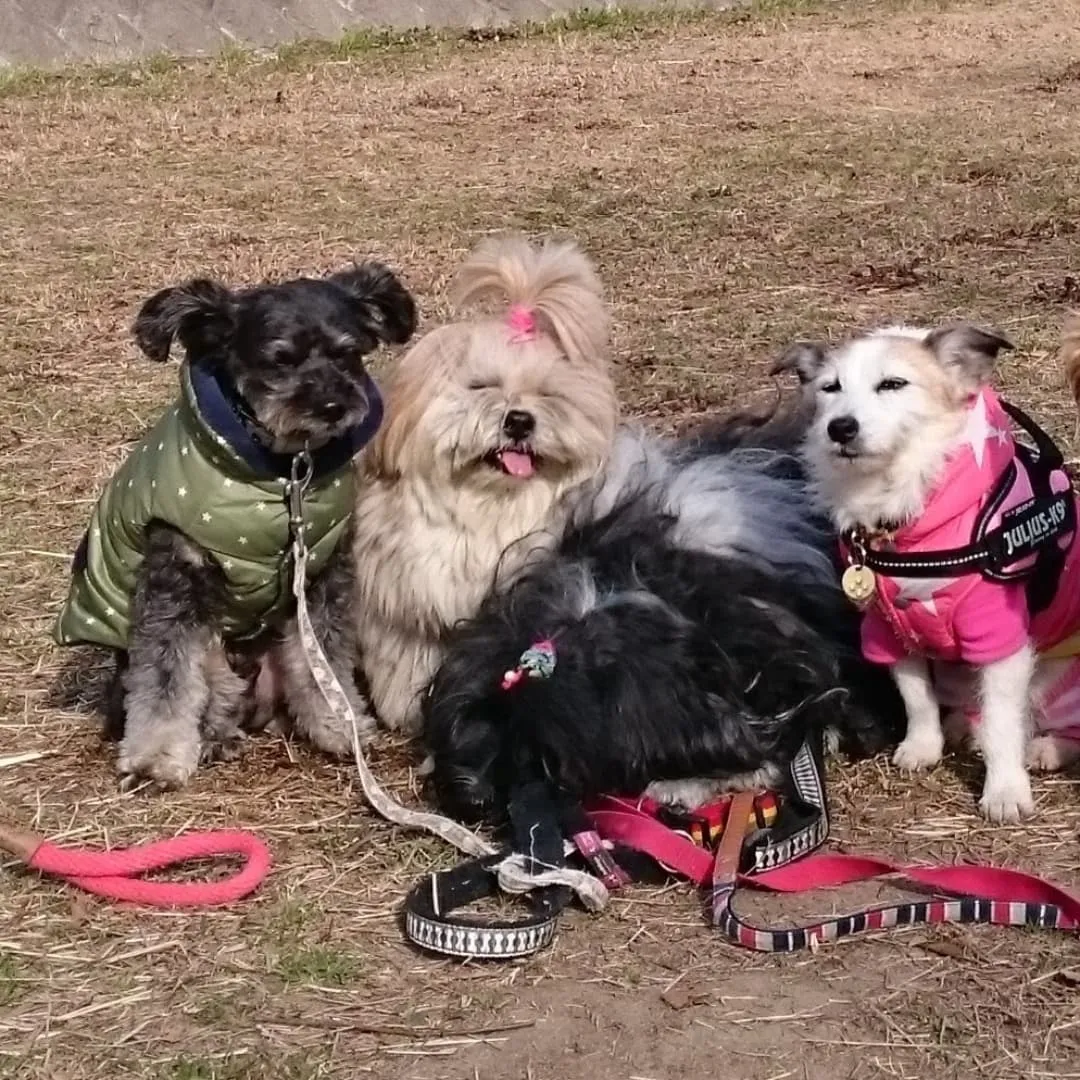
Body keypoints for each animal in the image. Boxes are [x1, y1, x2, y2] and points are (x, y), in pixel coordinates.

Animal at [354, 232, 622, 730]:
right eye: (481, 386)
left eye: (548, 395)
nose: (519, 420)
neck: (488, 508)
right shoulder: (409, 601)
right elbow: (406, 659)